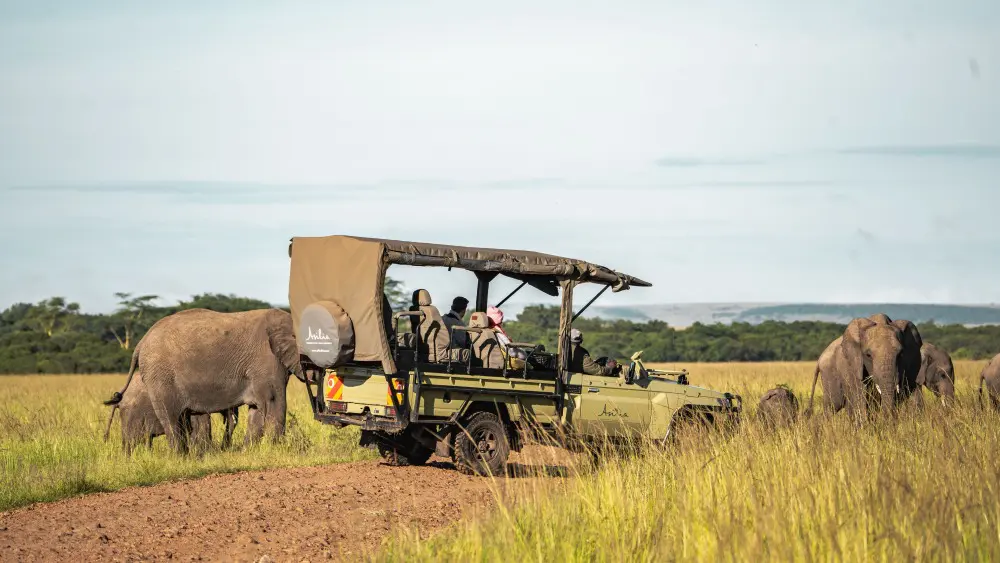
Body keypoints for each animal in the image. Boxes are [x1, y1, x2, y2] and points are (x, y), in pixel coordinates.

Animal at [103, 307, 304, 454]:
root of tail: (140, 343)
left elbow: (256, 410)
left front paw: (249, 453)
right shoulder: (267, 361)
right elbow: (274, 403)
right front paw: (275, 451)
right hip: (158, 378)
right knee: (170, 418)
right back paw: (179, 457)